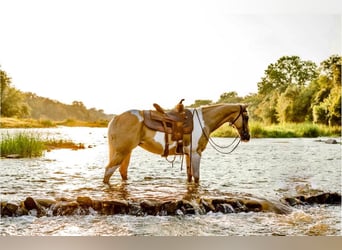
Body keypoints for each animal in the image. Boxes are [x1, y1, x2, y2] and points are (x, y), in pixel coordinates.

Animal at [103, 102, 250, 185]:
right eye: (247, 117)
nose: (247, 137)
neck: (204, 121)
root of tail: (116, 118)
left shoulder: (188, 154)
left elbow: (190, 176)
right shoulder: (196, 154)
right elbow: (197, 178)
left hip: (126, 152)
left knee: (122, 171)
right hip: (121, 152)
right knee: (108, 172)